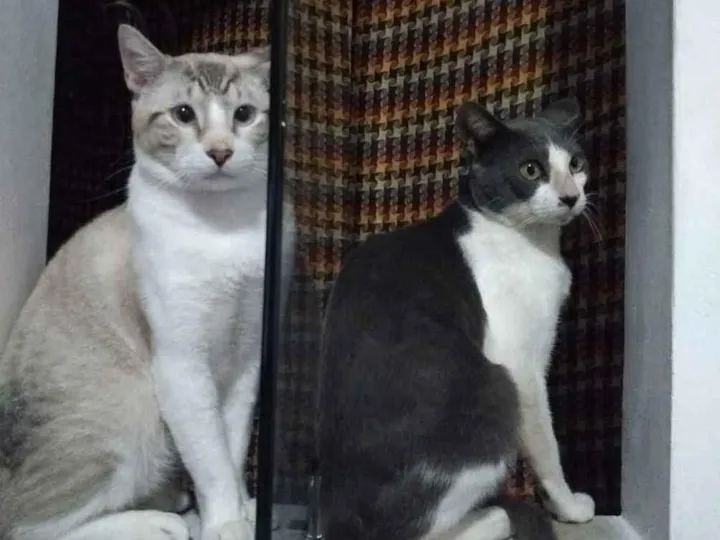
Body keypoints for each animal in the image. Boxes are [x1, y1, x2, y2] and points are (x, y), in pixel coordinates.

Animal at [0, 25, 294, 540]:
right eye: (183, 115)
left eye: (243, 114)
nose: (220, 152)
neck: (225, 225)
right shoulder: (182, 365)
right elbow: (210, 457)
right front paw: (226, 523)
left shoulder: (246, 358)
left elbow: (231, 446)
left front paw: (241, 509)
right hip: (133, 414)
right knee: (25, 525)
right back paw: (157, 522)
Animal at [316, 97, 595, 540]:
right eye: (530, 170)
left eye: (577, 164)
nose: (571, 196)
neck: (533, 242)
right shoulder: (523, 368)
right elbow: (546, 447)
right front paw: (568, 507)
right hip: (496, 391)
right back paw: (494, 516)